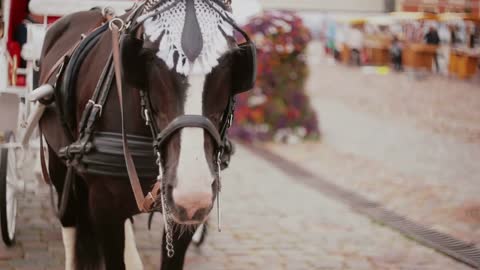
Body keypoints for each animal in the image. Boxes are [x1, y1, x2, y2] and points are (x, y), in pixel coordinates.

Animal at [37, 1, 255, 268]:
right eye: (152, 59)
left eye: (230, 62)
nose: (191, 192)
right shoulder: (104, 207)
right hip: (59, 164)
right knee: (69, 219)